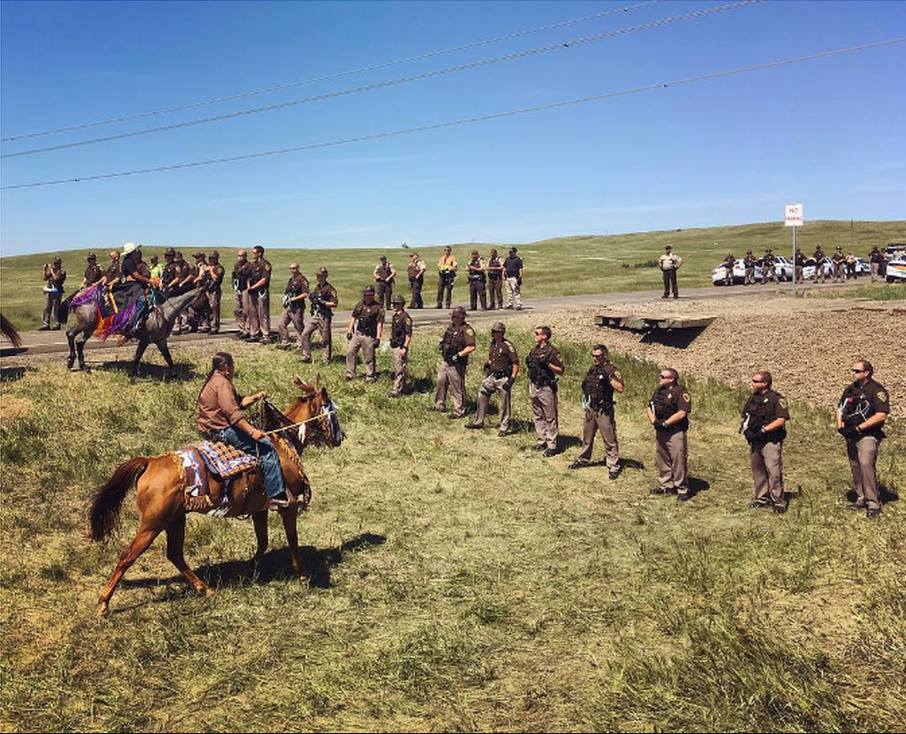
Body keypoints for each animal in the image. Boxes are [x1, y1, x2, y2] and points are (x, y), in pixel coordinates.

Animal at [65, 288, 205, 380]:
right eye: (205, 297)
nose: (200, 318)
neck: (163, 312)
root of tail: (78, 296)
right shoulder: (145, 340)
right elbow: (137, 356)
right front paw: (132, 375)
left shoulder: (160, 340)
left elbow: (168, 358)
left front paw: (175, 375)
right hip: (85, 323)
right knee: (71, 335)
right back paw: (71, 362)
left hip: (89, 327)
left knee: (79, 341)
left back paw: (82, 366)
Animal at [89, 380, 342, 616]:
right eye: (331, 411)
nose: (341, 437)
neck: (281, 443)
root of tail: (150, 462)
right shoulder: (287, 507)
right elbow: (292, 539)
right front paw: (302, 575)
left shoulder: (259, 508)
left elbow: (262, 542)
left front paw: (246, 570)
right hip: (153, 524)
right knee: (128, 556)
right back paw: (103, 603)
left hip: (175, 519)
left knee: (175, 554)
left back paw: (205, 588)